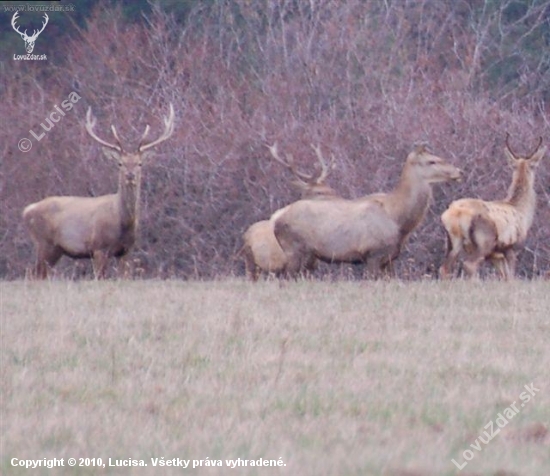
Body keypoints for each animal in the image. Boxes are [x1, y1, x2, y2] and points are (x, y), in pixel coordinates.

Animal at [22, 102, 175, 278]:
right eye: (120, 163)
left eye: (139, 163)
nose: (130, 175)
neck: (123, 222)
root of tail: (26, 211)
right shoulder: (98, 248)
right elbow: (99, 277)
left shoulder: (126, 250)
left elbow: (124, 276)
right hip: (44, 243)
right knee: (34, 274)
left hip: (55, 249)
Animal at [440, 135, 548, 278]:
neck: (522, 211)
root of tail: (455, 213)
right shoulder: (510, 248)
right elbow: (510, 277)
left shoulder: (496, 255)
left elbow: (504, 277)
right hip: (485, 241)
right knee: (469, 265)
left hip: (453, 241)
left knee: (444, 268)